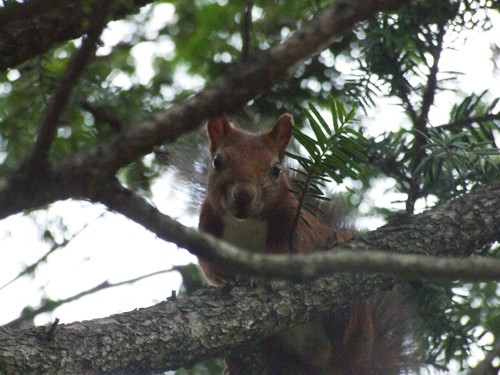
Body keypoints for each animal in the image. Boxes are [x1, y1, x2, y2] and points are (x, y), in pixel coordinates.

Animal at [197, 114, 416, 375]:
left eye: (276, 169)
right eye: (217, 161)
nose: (243, 195)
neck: (245, 224)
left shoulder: (297, 228)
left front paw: (269, 278)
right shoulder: (206, 229)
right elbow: (212, 271)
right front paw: (235, 277)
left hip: (354, 328)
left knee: (344, 329)